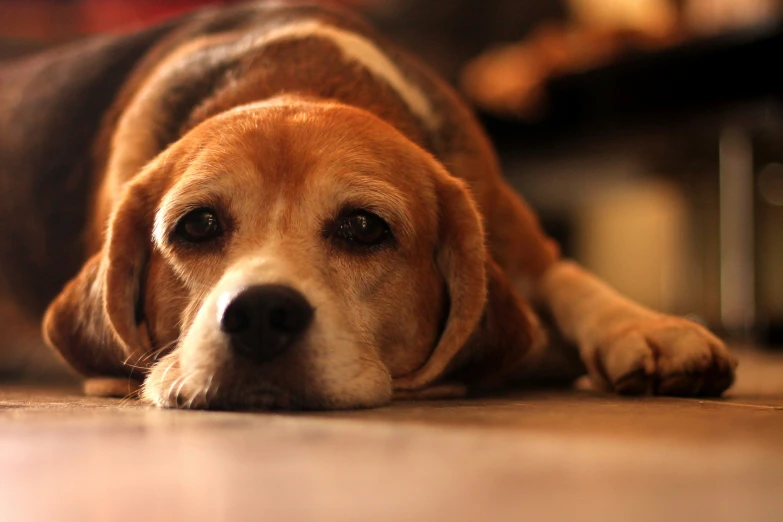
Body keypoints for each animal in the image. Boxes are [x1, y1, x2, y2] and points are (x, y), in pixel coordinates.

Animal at [0, 1, 736, 406]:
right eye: (197, 224)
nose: (260, 314)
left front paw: (646, 328)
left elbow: (569, 279)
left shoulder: (513, 232)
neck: (297, 79)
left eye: (363, 226)